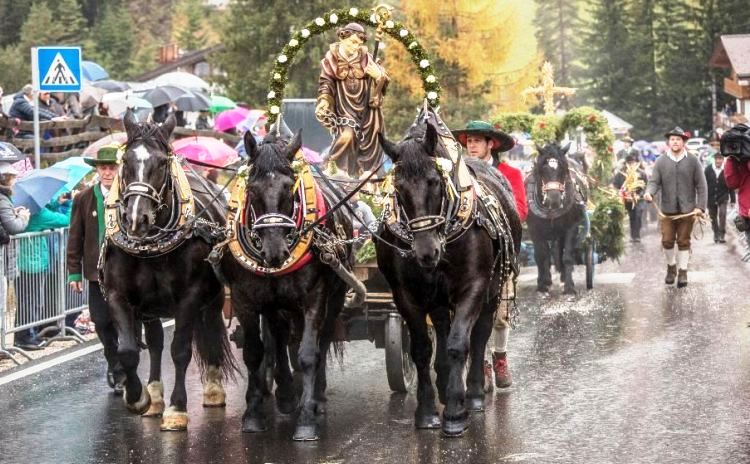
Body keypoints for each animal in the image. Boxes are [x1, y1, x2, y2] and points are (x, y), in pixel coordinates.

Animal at [100, 111, 235, 432]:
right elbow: (128, 350)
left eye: (162, 163)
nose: (136, 218)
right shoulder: (118, 296)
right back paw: (154, 395)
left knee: (211, 330)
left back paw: (213, 388)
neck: (150, 247)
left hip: (212, 299)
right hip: (151, 308)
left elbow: (181, 350)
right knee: (155, 343)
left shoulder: (190, 296)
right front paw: (138, 398)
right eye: (126, 161)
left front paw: (177, 408)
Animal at [220, 129, 356, 440]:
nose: (275, 252)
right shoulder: (247, 298)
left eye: (290, 188)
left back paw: (316, 396)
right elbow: (256, 351)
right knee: (280, 339)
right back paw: (285, 394)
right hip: (277, 303)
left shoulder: (315, 295)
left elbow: (308, 354)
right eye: (252, 190)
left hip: (335, 295)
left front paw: (307, 418)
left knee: (322, 338)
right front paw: (254, 413)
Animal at [376, 118, 524, 436]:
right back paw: (444, 386)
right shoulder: (406, 295)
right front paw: (427, 412)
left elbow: (459, 344)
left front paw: (456, 412)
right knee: (442, 328)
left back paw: (475, 393)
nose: (426, 251)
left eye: (434, 181)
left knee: (480, 335)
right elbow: (421, 349)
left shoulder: (474, 286)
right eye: (398, 187)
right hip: (438, 297)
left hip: (493, 291)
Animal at [524, 142, 592, 294]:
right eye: (542, 169)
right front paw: (542, 285)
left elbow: (567, 256)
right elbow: (541, 255)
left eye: (563, 169)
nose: (554, 198)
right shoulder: (534, 229)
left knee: (560, 251)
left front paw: (569, 286)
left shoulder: (571, 227)